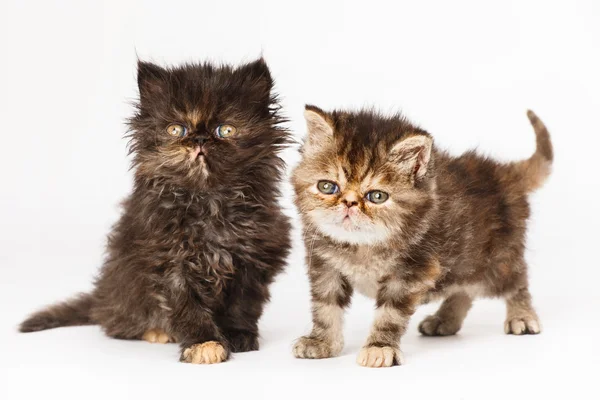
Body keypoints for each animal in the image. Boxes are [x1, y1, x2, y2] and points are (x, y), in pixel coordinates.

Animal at [19, 57, 292, 364]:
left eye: (226, 130)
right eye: (176, 129)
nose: (199, 139)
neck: (209, 202)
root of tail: (102, 299)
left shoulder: (255, 257)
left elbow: (242, 305)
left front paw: (238, 335)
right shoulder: (169, 261)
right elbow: (187, 307)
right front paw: (204, 343)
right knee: (118, 325)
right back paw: (157, 331)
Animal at [292, 104, 552, 368]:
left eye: (377, 196)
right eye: (327, 187)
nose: (349, 203)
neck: (362, 246)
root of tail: (501, 173)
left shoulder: (410, 271)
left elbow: (390, 314)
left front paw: (379, 347)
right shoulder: (324, 266)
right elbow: (325, 307)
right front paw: (321, 341)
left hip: (497, 260)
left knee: (516, 282)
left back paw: (522, 316)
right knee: (463, 290)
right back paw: (444, 320)